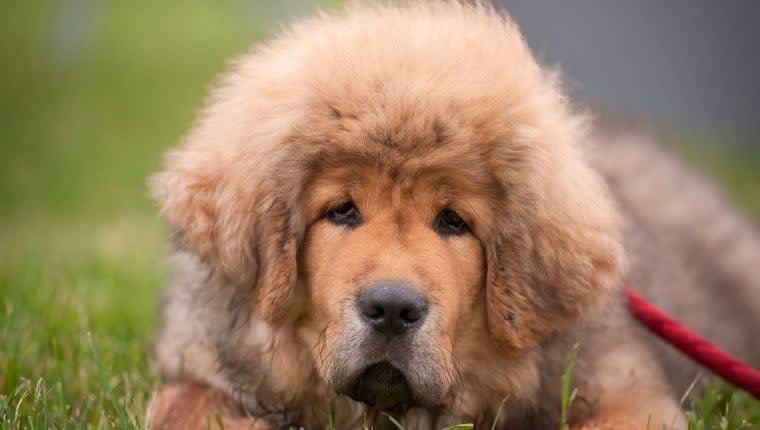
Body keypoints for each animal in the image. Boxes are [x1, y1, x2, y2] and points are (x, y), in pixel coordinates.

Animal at [147, 1, 760, 428]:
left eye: (454, 222)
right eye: (341, 210)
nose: (392, 309)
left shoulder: (628, 394)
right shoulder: (201, 363)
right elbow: (180, 403)